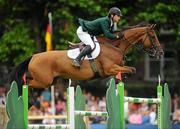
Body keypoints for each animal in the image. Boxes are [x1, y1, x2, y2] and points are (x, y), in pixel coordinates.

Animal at [9, 23, 165, 95]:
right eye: (153, 36)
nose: (161, 52)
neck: (115, 46)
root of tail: (34, 56)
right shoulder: (109, 69)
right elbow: (130, 69)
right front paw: (121, 77)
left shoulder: (116, 68)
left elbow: (131, 69)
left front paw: (122, 78)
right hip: (44, 81)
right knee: (26, 83)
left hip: (50, 81)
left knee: (28, 82)